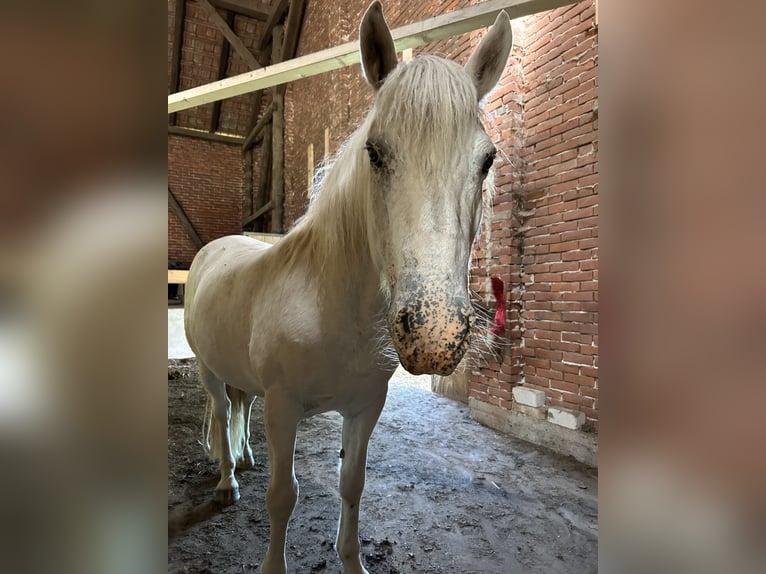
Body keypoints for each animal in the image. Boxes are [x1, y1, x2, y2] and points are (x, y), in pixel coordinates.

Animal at [183, 2, 512, 572]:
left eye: (487, 159)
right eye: (374, 153)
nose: (434, 337)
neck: (334, 310)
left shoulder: (365, 407)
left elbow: (351, 486)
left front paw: (352, 559)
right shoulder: (283, 408)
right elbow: (282, 496)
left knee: (237, 411)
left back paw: (243, 459)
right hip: (209, 369)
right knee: (223, 413)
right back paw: (227, 481)